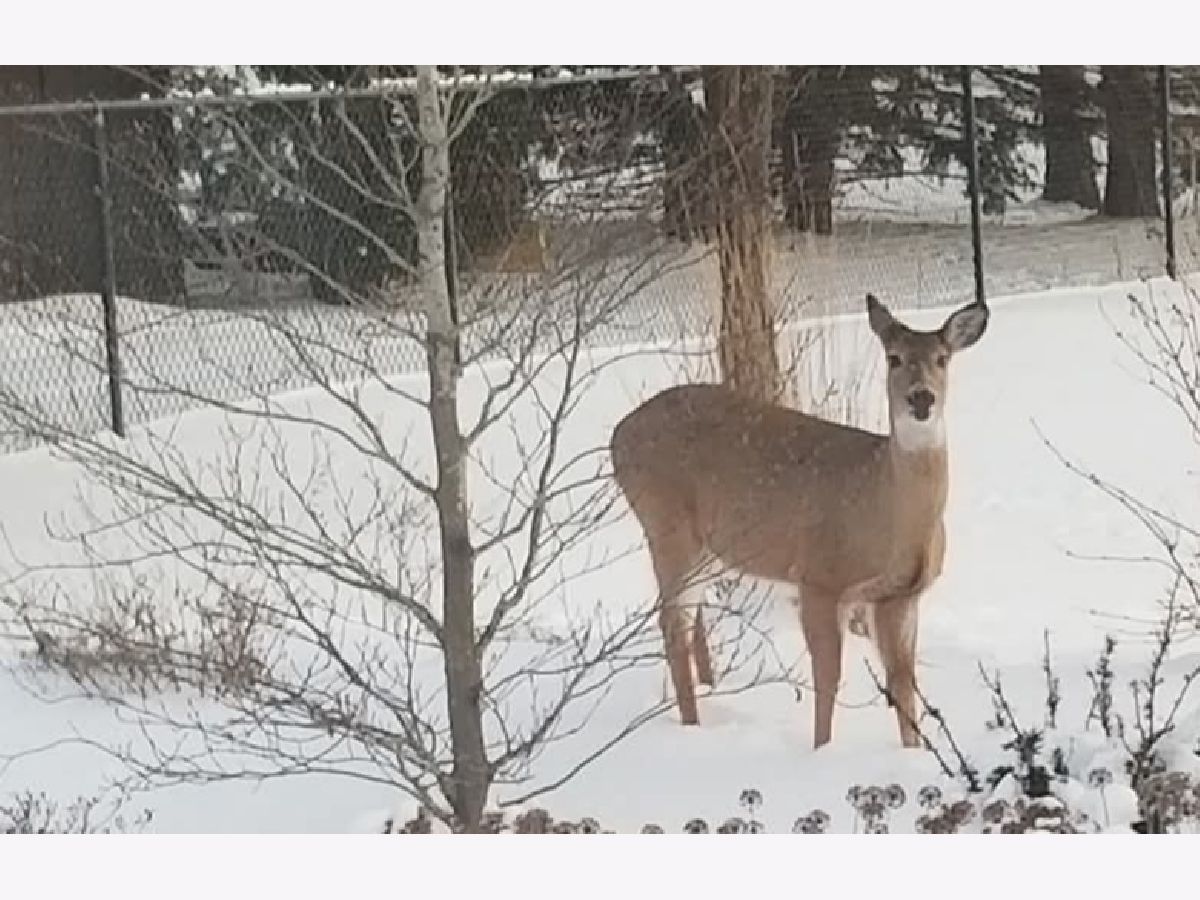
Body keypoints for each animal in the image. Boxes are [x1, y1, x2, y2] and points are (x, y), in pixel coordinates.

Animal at [610, 293, 989, 749]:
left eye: (942, 358)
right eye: (894, 358)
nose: (921, 399)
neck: (888, 511)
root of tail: (616, 436)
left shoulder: (901, 596)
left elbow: (903, 682)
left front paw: (912, 752)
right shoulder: (819, 578)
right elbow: (829, 677)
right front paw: (821, 749)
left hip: (704, 547)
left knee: (689, 617)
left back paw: (709, 693)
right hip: (667, 524)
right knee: (671, 621)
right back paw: (692, 726)